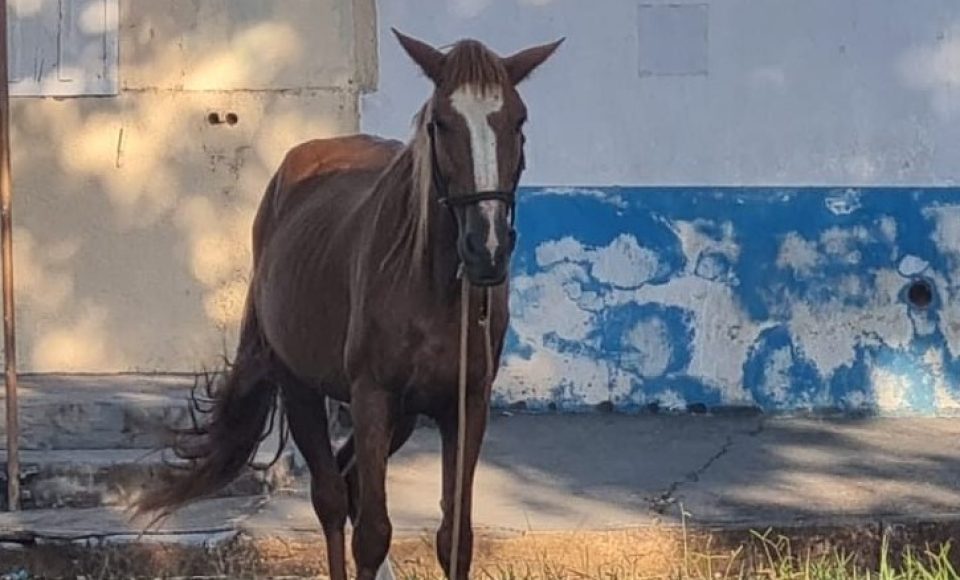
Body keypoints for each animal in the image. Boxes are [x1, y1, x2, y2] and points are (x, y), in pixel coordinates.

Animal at [134, 30, 562, 580]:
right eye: (440, 124)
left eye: (518, 120)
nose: (485, 248)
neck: (432, 287)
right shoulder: (371, 396)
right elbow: (373, 533)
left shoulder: (466, 403)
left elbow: (456, 536)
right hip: (302, 388)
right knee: (333, 498)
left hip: (402, 415)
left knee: (349, 481)